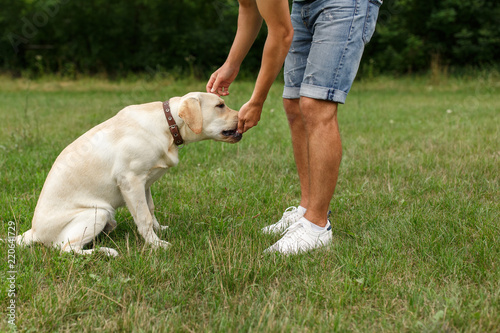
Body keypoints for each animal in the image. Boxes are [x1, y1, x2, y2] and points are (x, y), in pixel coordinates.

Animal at [15, 92, 242, 255]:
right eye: (220, 105)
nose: (243, 117)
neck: (167, 125)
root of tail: (33, 233)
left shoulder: (146, 183)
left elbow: (151, 209)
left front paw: (160, 231)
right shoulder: (131, 181)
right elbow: (144, 218)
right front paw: (156, 245)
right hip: (98, 211)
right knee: (65, 249)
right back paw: (105, 252)